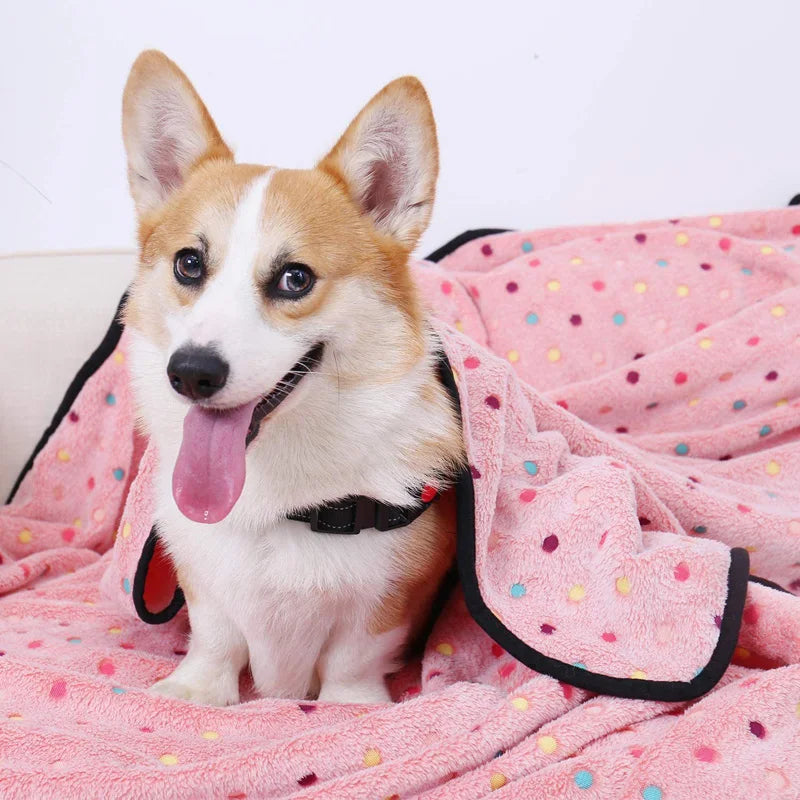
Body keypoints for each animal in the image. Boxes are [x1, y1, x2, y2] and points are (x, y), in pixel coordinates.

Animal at [122, 50, 466, 704]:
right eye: (189, 263)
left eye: (295, 279)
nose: (192, 373)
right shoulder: (202, 576)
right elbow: (214, 635)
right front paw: (195, 691)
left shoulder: (391, 593)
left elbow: (354, 656)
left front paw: (350, 707)